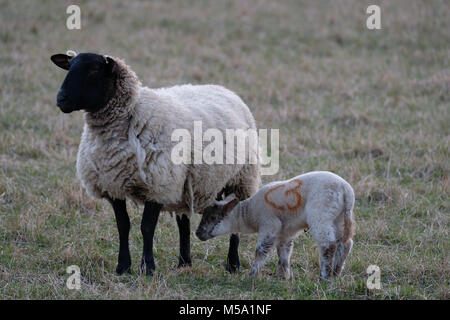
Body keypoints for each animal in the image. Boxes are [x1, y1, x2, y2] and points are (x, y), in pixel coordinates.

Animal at [50, 52, 260, 276]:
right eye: (70, 66)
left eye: (94, 70)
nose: (60, 99)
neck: (133, 111)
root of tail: (225, 89)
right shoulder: (114, 185)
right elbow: (123, 225)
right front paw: (123, 267)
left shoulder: (157, 185)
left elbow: (146, 227)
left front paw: (147, 267)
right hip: (184, 185)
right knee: (183, 224)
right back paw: (184, 263)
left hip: (241, 179)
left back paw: (233, 264)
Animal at [196, 171, 356, 278]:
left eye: (213, 217)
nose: (197, 233)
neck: (248, 213)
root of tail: (346, 191)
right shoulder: (285, 232)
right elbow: (284, 252)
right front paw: (283, 276)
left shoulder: (270, 226)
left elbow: (260, 251)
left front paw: (253, 274)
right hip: (339, 218)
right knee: (345, 244)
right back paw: (336, 272)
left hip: (321, 215)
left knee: (328, 245)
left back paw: (324, 277)